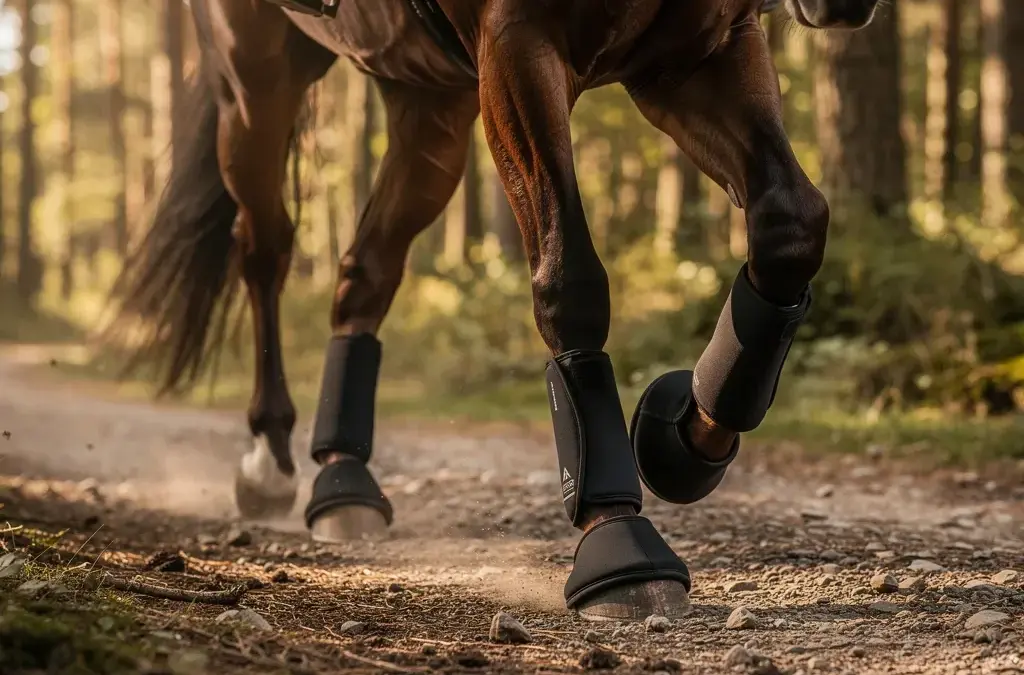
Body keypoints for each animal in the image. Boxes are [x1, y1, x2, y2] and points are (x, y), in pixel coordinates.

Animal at [105, 0, 879, 622]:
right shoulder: (518, 46)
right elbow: (570, 277)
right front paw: (615, 537)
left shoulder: (700, 54)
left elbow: (789, 226)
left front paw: (678, 441)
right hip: (259, 80)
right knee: (265, 251)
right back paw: (271, 456)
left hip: (428, 102)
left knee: (364, 273)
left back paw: (343, 475)